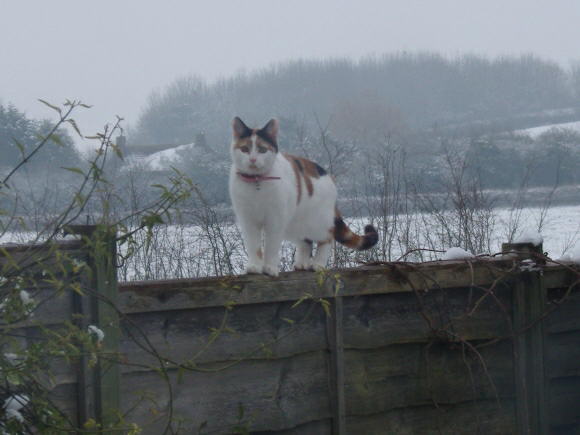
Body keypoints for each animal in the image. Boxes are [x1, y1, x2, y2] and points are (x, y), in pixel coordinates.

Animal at [229, 117, 378, 278]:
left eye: (262, 150)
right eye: (245, 149)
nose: (253, 159)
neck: (257, 183)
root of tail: (328, 176)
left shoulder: (275, 220)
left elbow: (271, 246)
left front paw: (269, 268)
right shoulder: (248, 220)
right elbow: (253, 246)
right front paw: (255, 267)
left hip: (317, 222)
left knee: (328, 237)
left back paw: (318, 265)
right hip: (293, 224)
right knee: (306, 242)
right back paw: (301, 264)